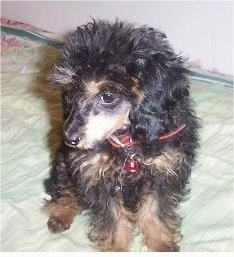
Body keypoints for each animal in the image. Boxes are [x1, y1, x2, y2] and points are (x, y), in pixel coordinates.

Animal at [43, 19, 198, 250]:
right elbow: (113, 216)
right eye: (70, 92)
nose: (70, 138)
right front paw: (116, 246)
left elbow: (155, 209)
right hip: (64, 162)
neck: (128, 142)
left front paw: (161, 241)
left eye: (108, 96)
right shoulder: (96, 173)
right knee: (64, 188)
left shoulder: (163, 170)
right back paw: (61, 212)